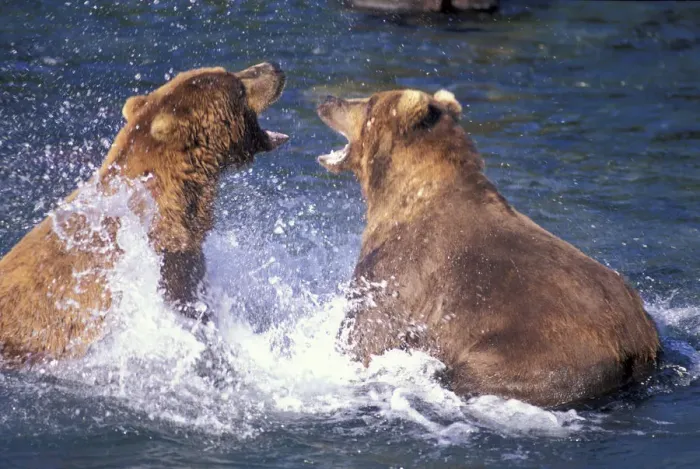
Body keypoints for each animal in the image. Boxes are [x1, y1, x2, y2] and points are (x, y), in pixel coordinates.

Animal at [316, 88, 660, 407]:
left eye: (368, 103)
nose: (327, 99)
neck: (402, 195)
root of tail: (636, 346)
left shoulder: (400, 273)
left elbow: (366, 336)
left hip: (534, 354)